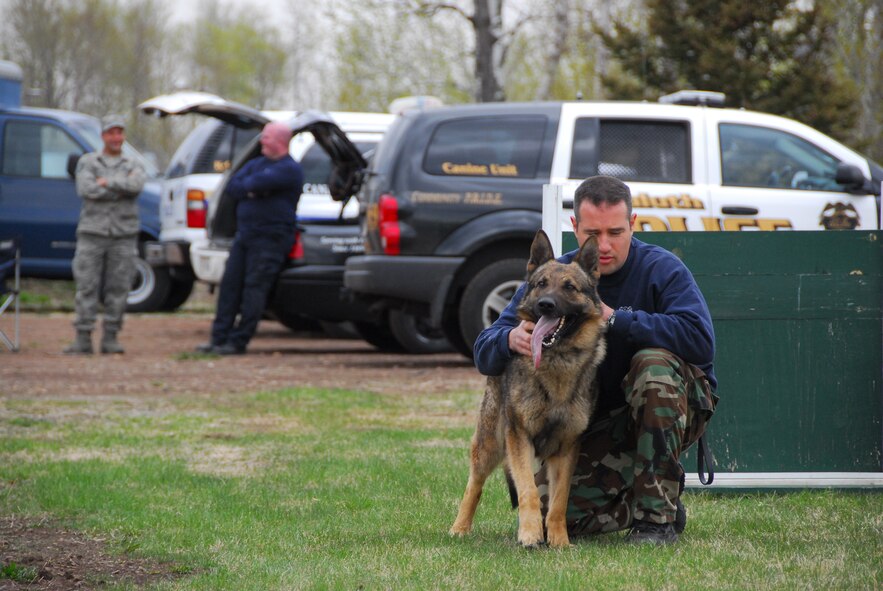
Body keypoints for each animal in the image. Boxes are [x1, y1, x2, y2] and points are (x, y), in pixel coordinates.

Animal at [448, 229, 608, 548]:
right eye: (541, 284)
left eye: (569, 287)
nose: (545, 304)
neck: (556, 360)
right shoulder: (519, 437)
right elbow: (528, 492)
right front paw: (531, 534)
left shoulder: (567, 447)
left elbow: (558, 501)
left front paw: (559, 540)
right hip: (490, 443)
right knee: (475, 484)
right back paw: (460, 528)